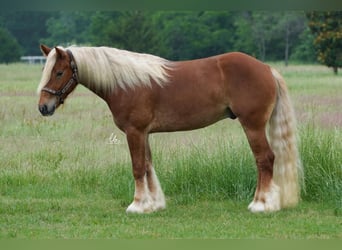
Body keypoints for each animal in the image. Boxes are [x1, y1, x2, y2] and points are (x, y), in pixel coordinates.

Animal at [36, 44, 302, 213]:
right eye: (46, 71)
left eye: (58, 72)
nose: (43, 107)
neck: (127, 83)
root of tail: (266, 68)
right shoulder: (144, 133)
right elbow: (148, 166)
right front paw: (153, 204)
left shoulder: (134, 132)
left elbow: (137, 167)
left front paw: (137, 205)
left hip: (253, 126)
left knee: (264, 159)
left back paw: (261, 204)